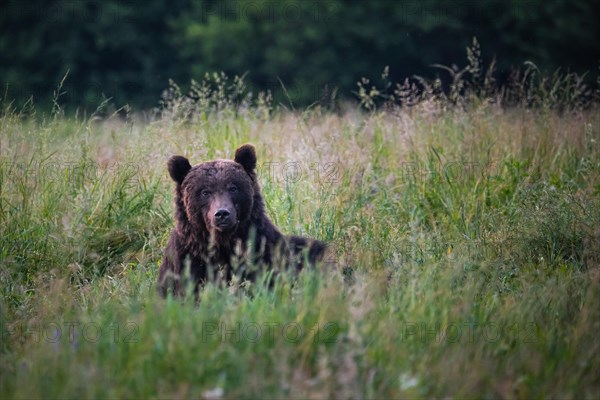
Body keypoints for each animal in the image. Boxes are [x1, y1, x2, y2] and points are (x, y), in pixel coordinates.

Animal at [158, 142, 328, 296]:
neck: (224, 242)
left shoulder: (262, 250)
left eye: (233, 188)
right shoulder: (187, 257)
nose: (222, 213)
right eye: (205, 192)